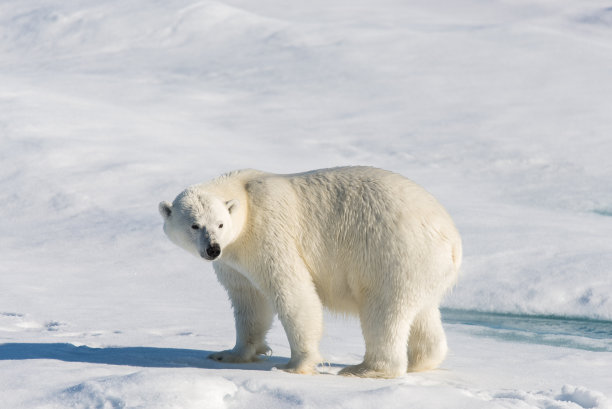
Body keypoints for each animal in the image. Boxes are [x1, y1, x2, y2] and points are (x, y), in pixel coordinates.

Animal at [158, 165, 460, 376]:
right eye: (195, 225)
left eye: (219, 224)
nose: (213, 248)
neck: (245, 197)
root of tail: (452, 239)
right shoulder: (233, 260)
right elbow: (249, 301)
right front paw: (230, 354)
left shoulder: (268, 231)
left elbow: (292, 292)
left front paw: (295, 365)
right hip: (424, 268)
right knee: (422, 313)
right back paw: (421, 361)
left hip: (393, 254)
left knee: (384, 311)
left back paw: (364, 369)